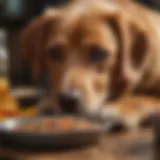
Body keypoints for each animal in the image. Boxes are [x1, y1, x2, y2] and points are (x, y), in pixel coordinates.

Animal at [19, 0, 160, 130]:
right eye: (54, 52)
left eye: (98, 53)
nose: (67, 100)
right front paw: (49, 103)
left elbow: (148, 98)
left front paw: (122, 107)